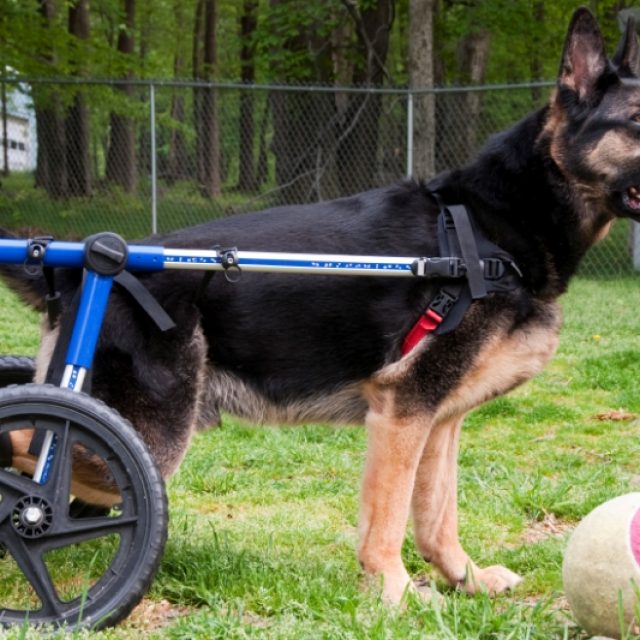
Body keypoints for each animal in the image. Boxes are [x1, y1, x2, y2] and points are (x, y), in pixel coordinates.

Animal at [3, 7, 640, 605]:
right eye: (636, 120)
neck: (488, 229)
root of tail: (80, 260)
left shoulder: (439, 420)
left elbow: (438, 516)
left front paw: (466, 580)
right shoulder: (401, 412)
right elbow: (388, 519)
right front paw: (395, 594)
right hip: (143, 436)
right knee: (26, 457)